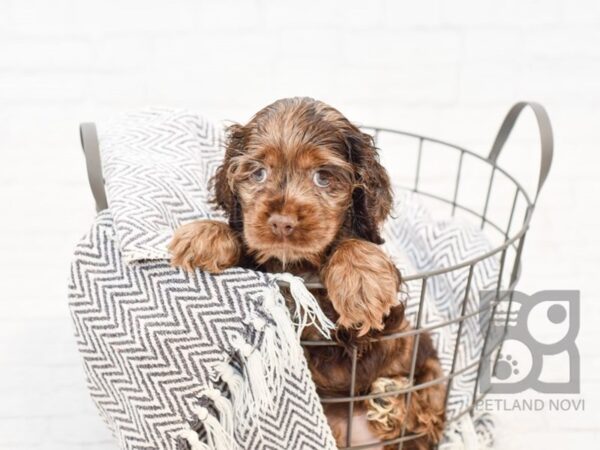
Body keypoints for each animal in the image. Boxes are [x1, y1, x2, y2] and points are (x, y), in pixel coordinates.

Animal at [169, 96, 446, 448]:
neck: (299, 265)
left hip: (418, 348)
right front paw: (205, 236)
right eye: (258, 173)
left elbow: (352, 251)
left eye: (323, 177)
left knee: (430, 400)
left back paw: (392, 403)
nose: (282, 223)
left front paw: (362, 283)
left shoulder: (371, 331)